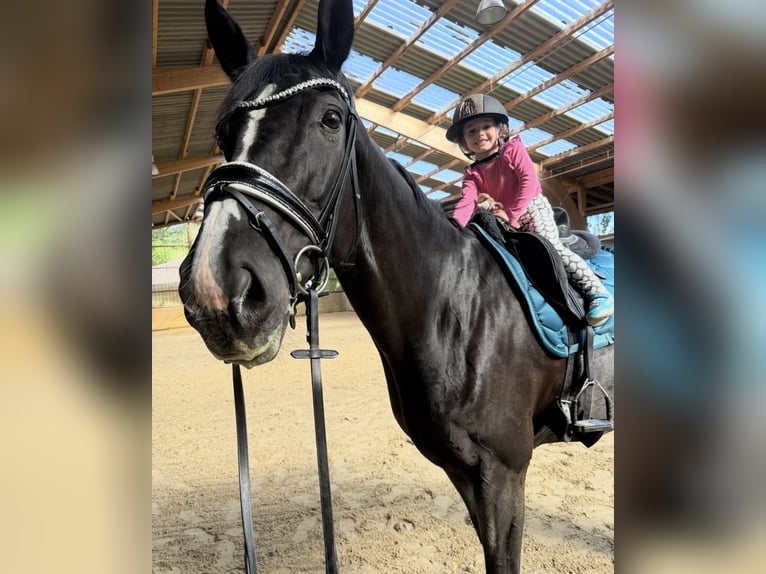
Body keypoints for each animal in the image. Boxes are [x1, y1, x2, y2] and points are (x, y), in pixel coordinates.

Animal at [179, 1, 614, 572]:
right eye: (223, 132)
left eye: (332, 119)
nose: (215, 290)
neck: (455, 307)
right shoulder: (465, 472)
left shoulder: (504, 474)